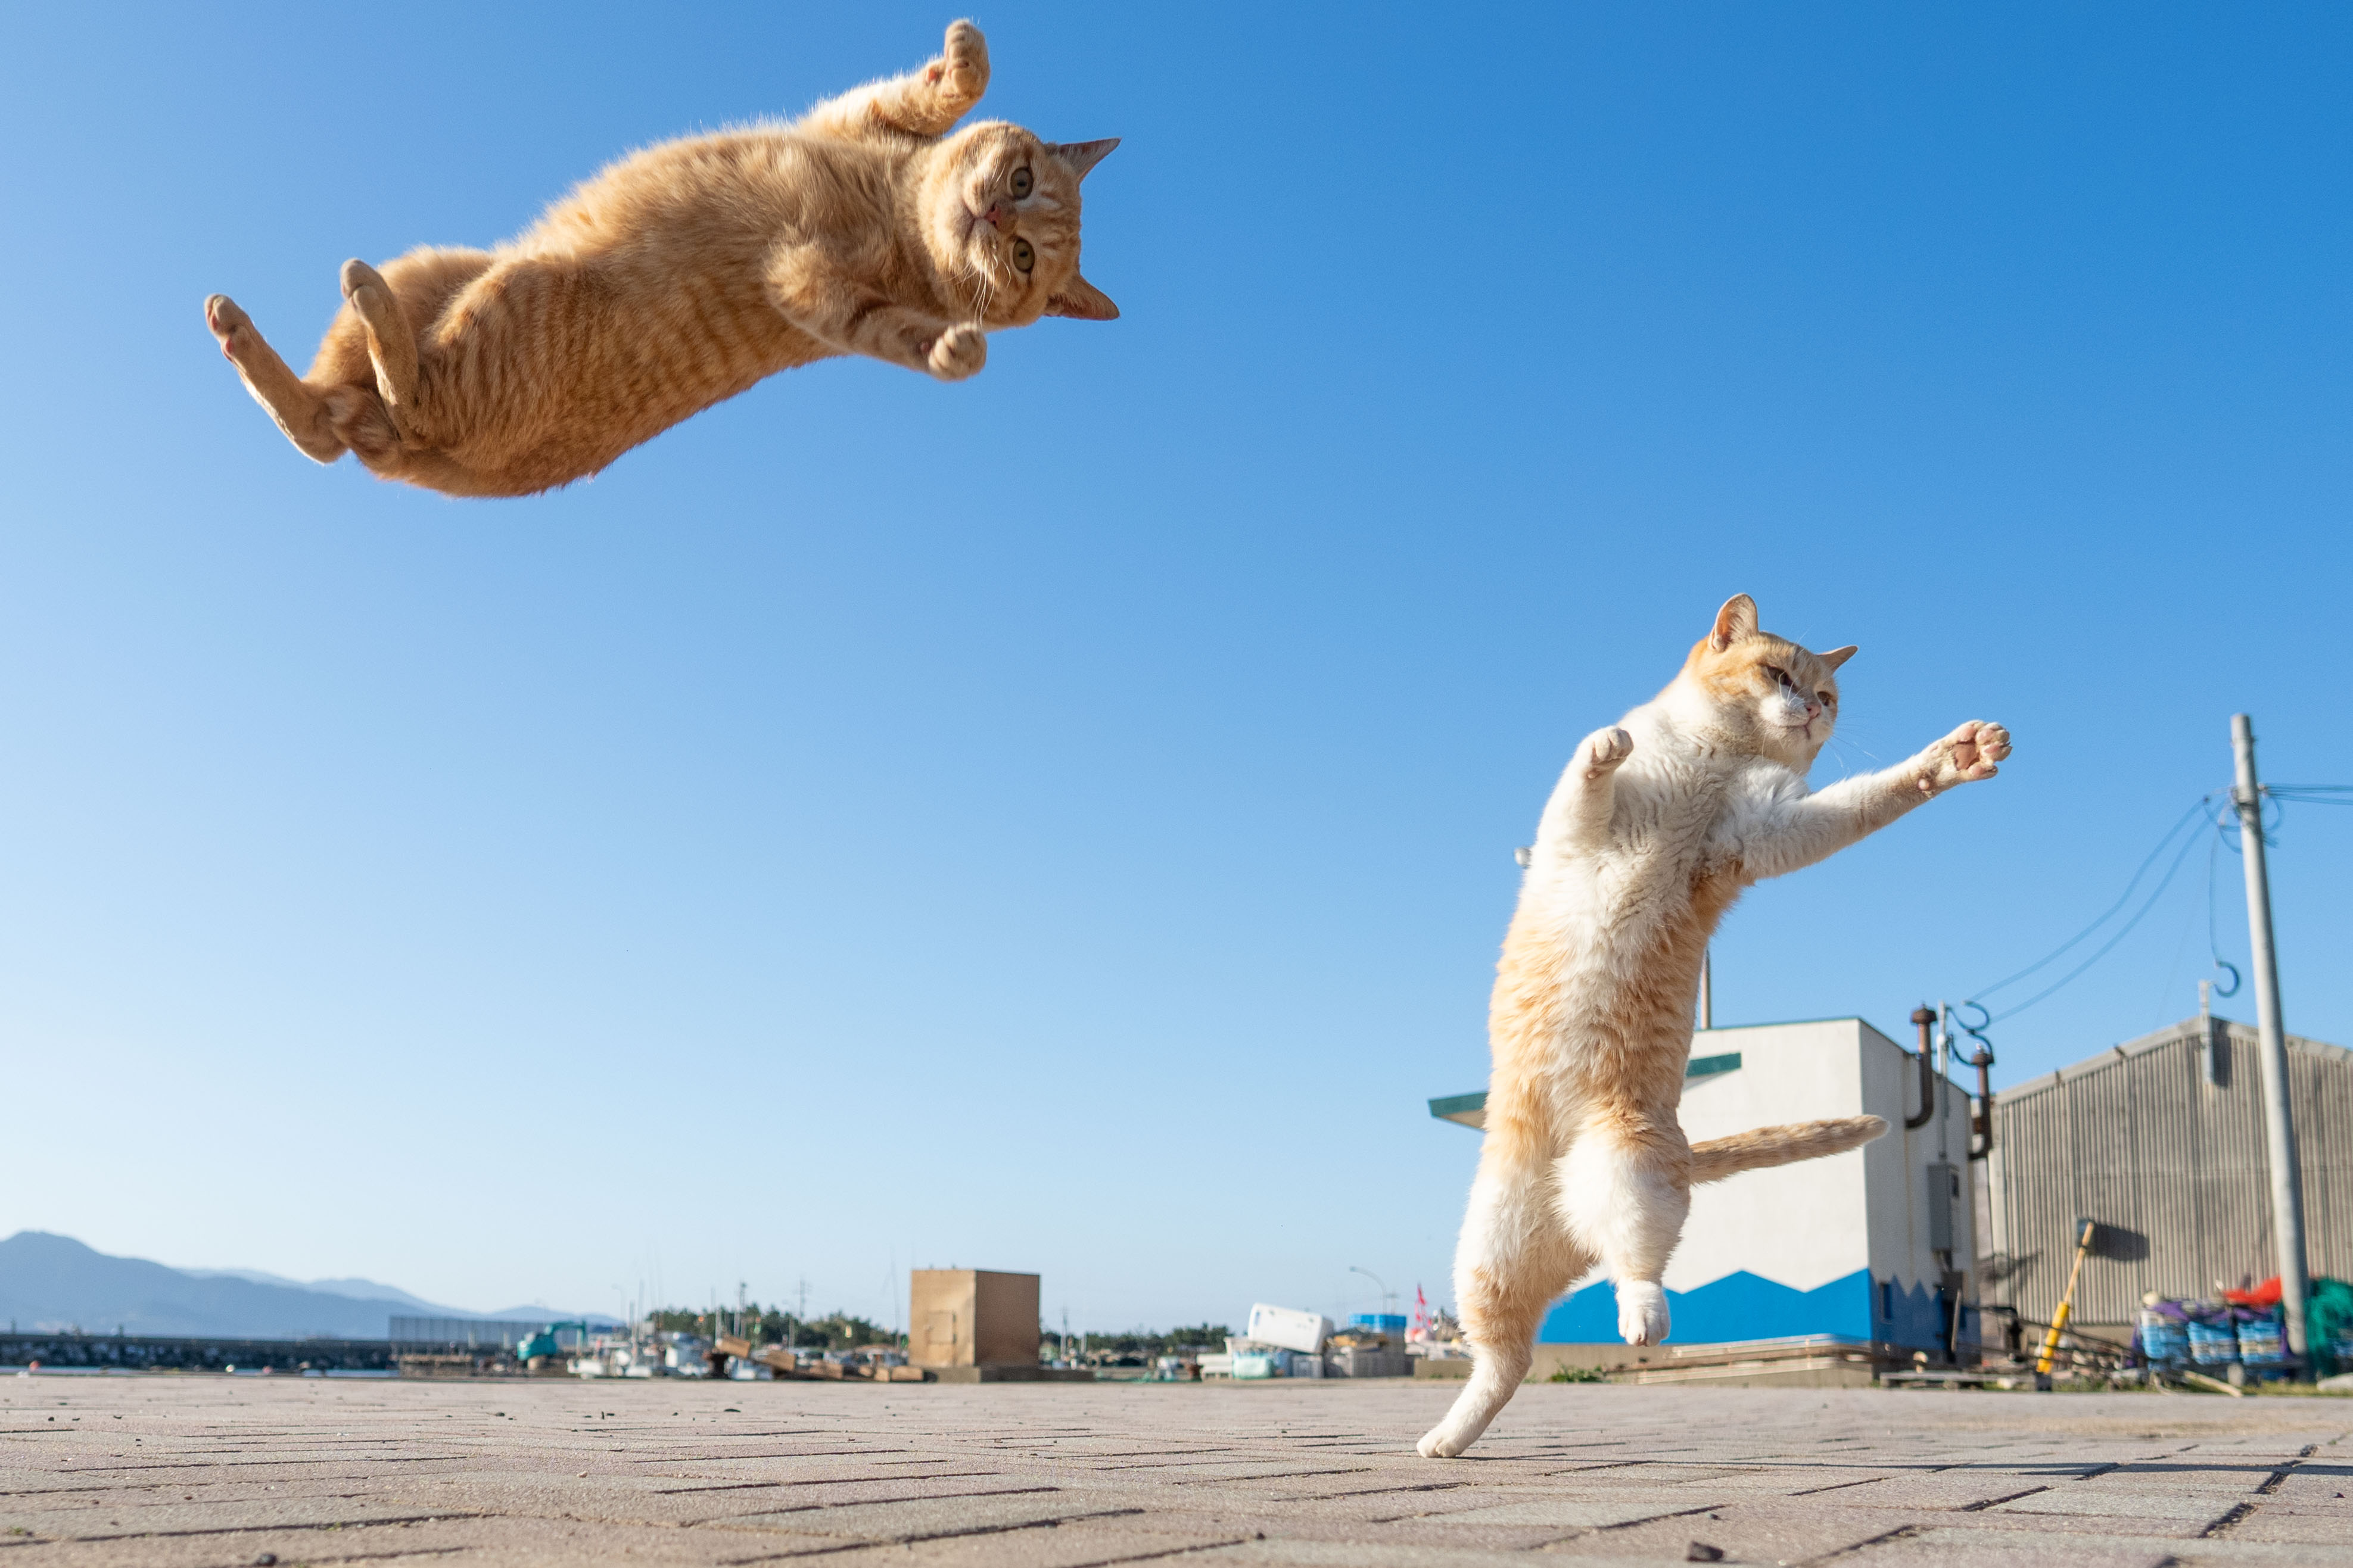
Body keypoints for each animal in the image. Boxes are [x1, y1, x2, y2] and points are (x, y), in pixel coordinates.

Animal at [204, 18, 1120, 495]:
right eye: (1022, 178)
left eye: (1025, 260)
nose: (994, 215)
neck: (896, 212)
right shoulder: (855, 116)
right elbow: (949, 87)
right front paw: (965, 51)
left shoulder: (815, 294)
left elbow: (895, 332)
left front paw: (952, 349)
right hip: (436, 267)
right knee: (320, 421)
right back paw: (248, 332)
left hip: (514, 295)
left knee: (390, 405)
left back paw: (355, 318)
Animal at [1402, 592, 2014, 1457]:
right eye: (1777, 675)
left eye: (1825, 696)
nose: (1807, 712)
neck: (1714, 758)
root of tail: (1569, 1207)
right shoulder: (1574, 832)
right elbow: (1581, 785)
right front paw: (1606, 746)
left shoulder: (1766, 829)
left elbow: (1867, 800)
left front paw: (1955, 758)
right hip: (1489, 1254)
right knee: (1506, 1360)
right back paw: (1448, 1438)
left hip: (1627, 1163)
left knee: (1634, 1265)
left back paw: (1639, 1314)